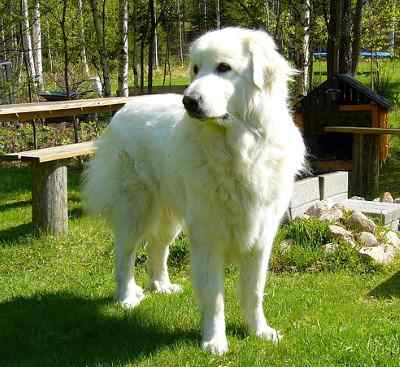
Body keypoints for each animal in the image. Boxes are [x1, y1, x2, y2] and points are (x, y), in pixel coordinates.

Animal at [83, 27, 304, 356]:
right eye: (196, 69)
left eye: (224, 68)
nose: (189, 101)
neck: (239, 150)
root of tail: (125, 107)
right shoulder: (208, 238)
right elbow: (214, 297)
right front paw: (215, 341)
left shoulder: (261, 237)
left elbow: (254, 292)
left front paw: (260, 332)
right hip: (134, 209)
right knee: (125, 254)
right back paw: (126, 298)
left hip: (170, 216)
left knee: (157, 248)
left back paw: (161, 286)